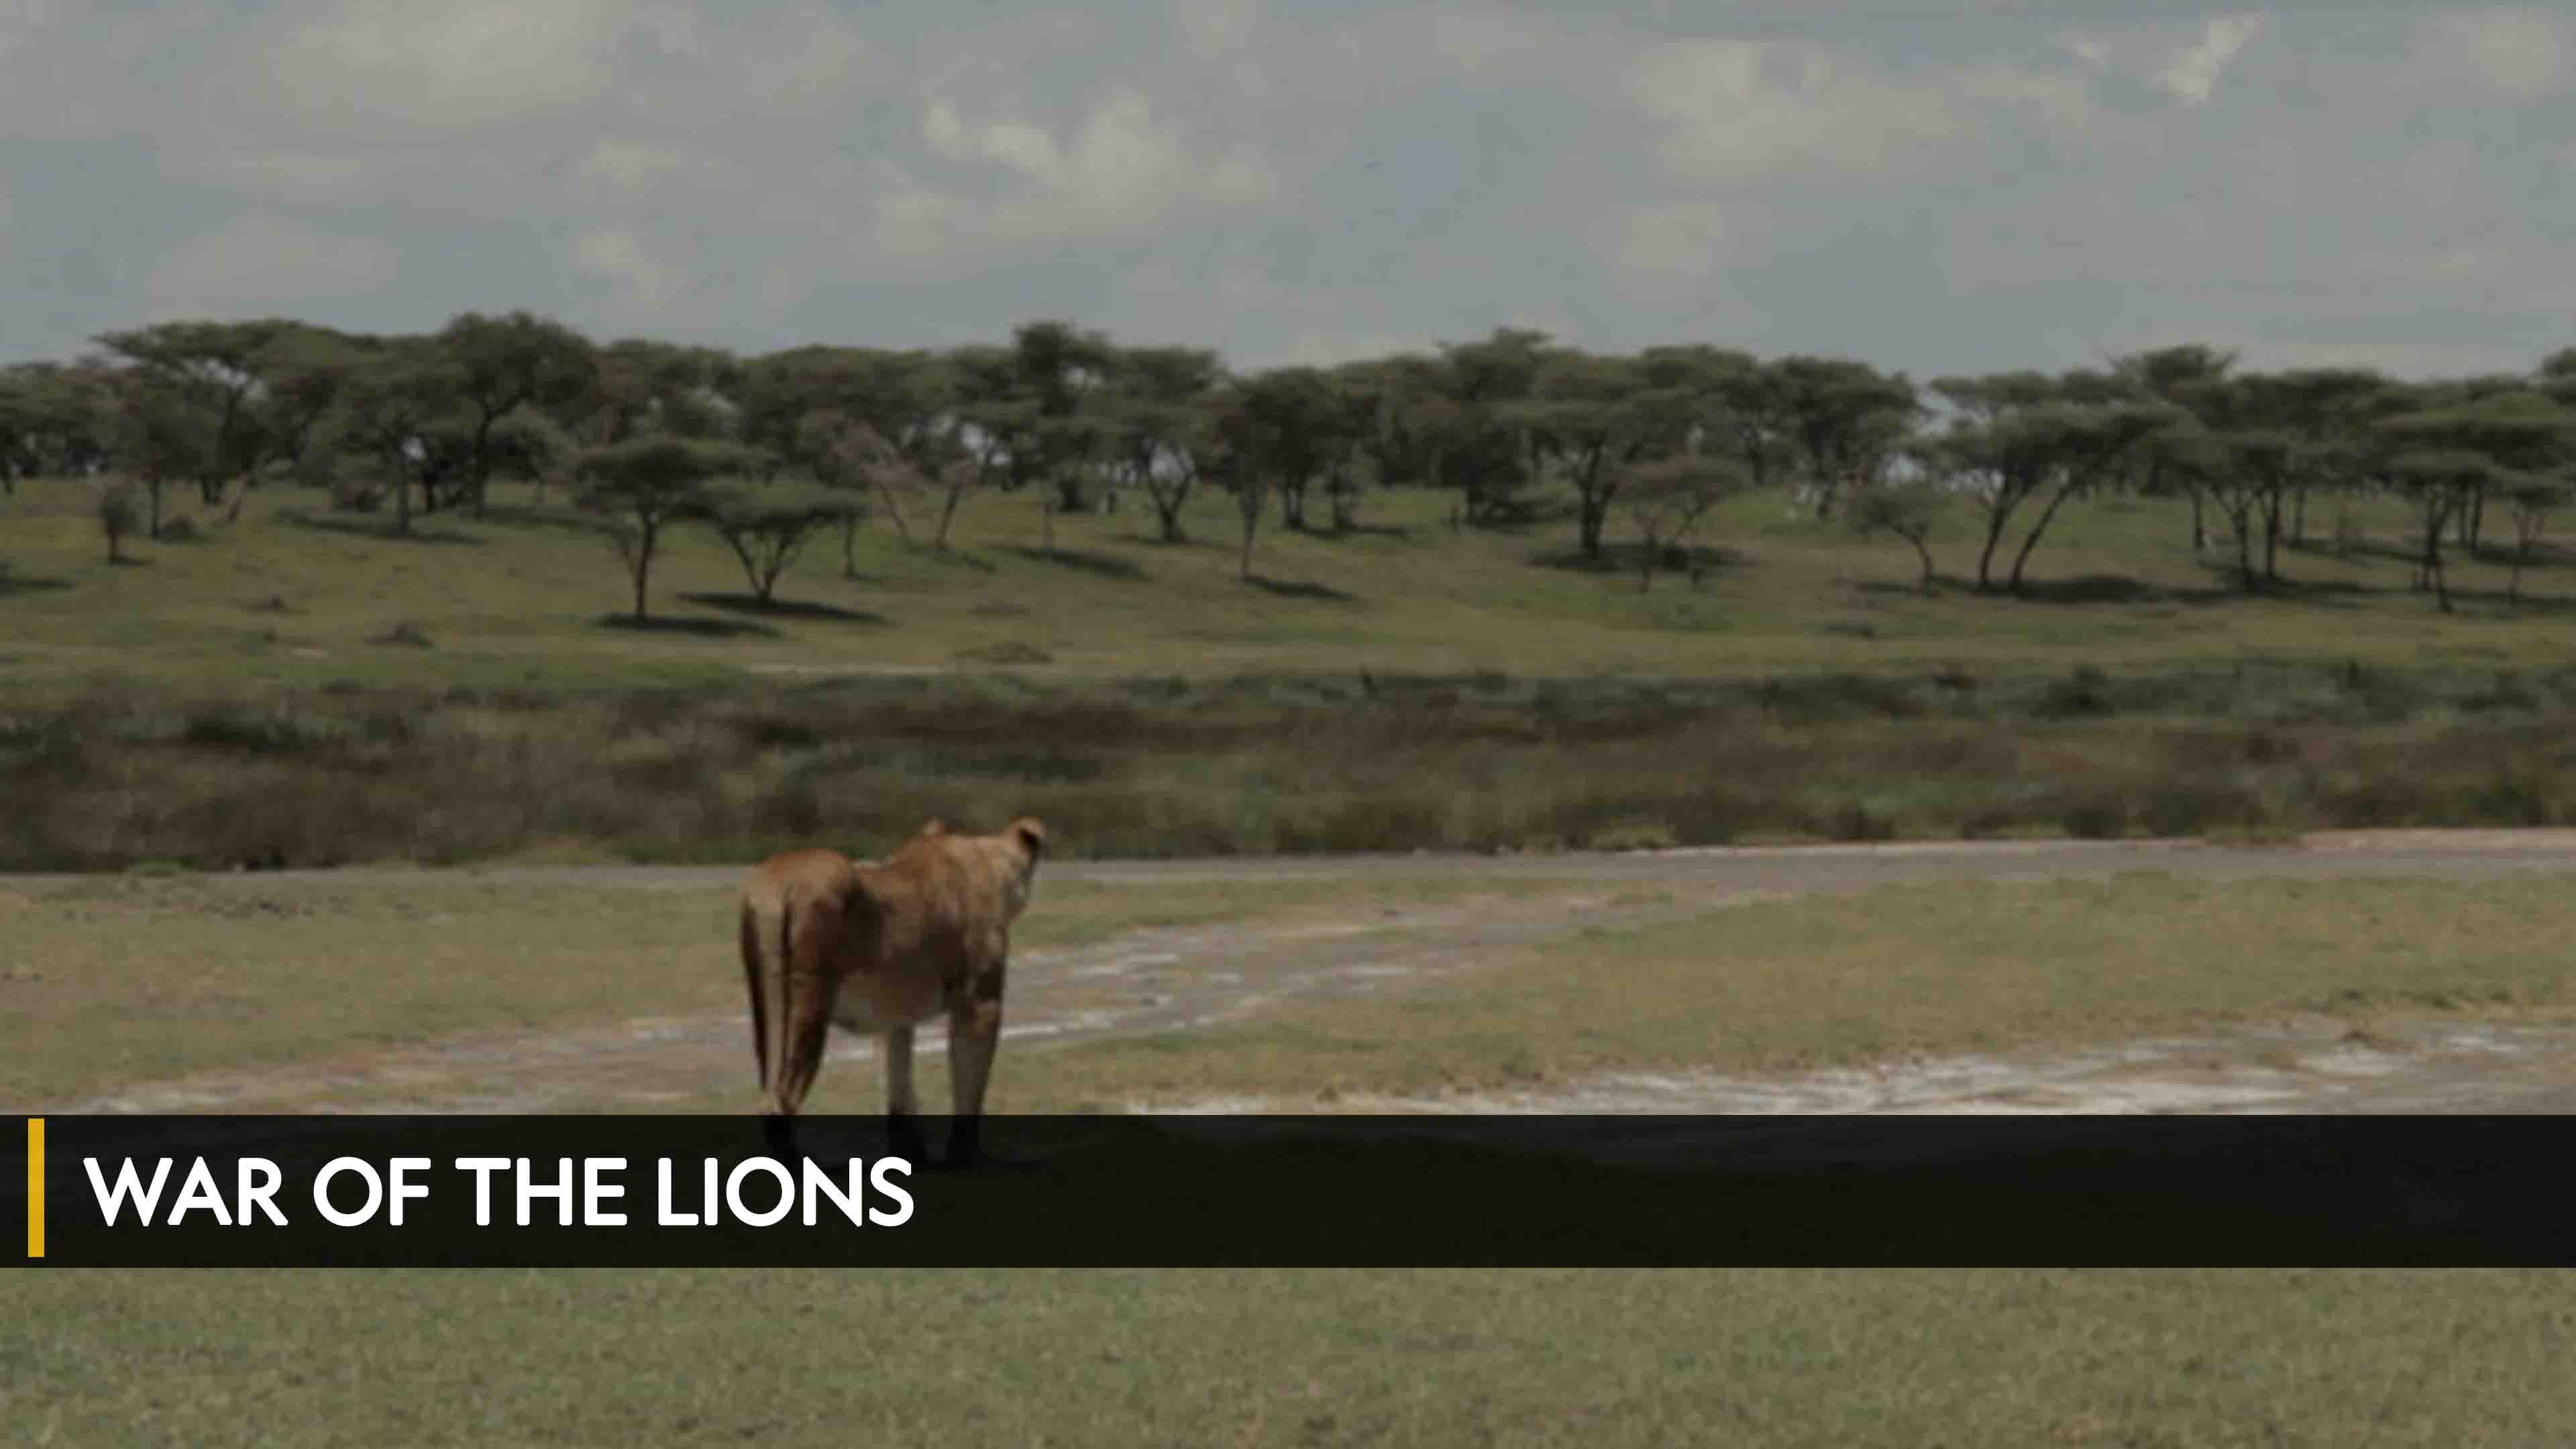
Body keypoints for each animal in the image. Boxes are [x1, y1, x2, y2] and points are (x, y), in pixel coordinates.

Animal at [737, 815, 1046, 1167]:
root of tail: (777, 886)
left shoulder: (893, 1014)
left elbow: (899, 1083)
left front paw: (910, 1156)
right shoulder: (980, 1005)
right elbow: (969, 1087)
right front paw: (963, 1158)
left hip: (768, 1004)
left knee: (768, 1094)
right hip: (809, 1004)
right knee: (782, 1100)